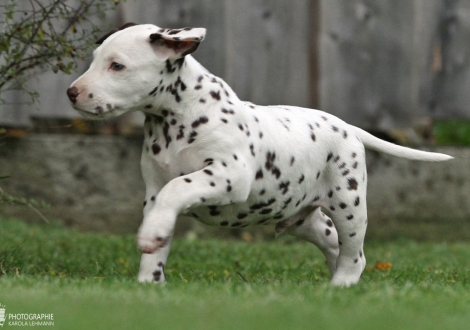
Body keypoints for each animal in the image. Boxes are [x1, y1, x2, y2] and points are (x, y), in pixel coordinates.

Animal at [66, 23, 452, 286]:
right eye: (96, 60)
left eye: (117, 66)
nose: (72, 92)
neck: (176, 118)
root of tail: (346, 126)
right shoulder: (153, 192)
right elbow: (160, 226)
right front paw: (150, 278)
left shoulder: (228, 174)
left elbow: (180, 187)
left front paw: (150, 239)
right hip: (304, 219)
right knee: (336, 245)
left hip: (349, 205)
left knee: (353, 254)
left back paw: (342, 284)